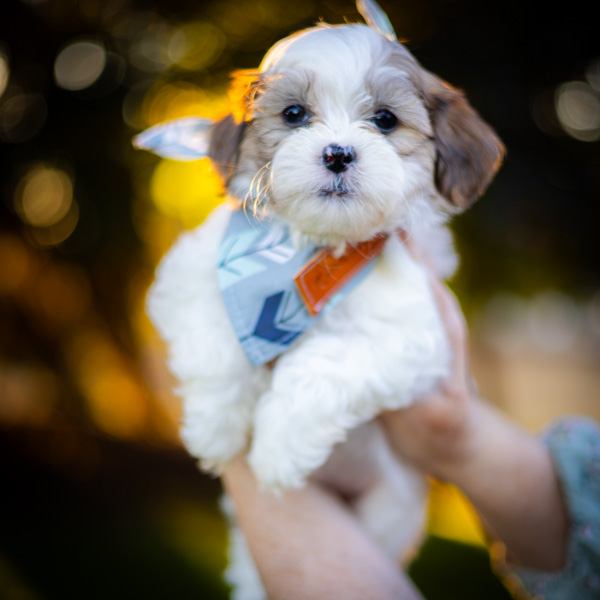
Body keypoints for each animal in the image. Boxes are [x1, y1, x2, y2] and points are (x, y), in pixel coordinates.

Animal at [135, 10, 502, 600]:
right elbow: (216, 335)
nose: (337, 152)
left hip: (386, 512)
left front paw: (277, 450)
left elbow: (323, 363)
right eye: (293, 114)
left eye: (384, 120)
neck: (316, 253)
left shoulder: (416, 334)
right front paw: (215, 427)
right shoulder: (193, 271)